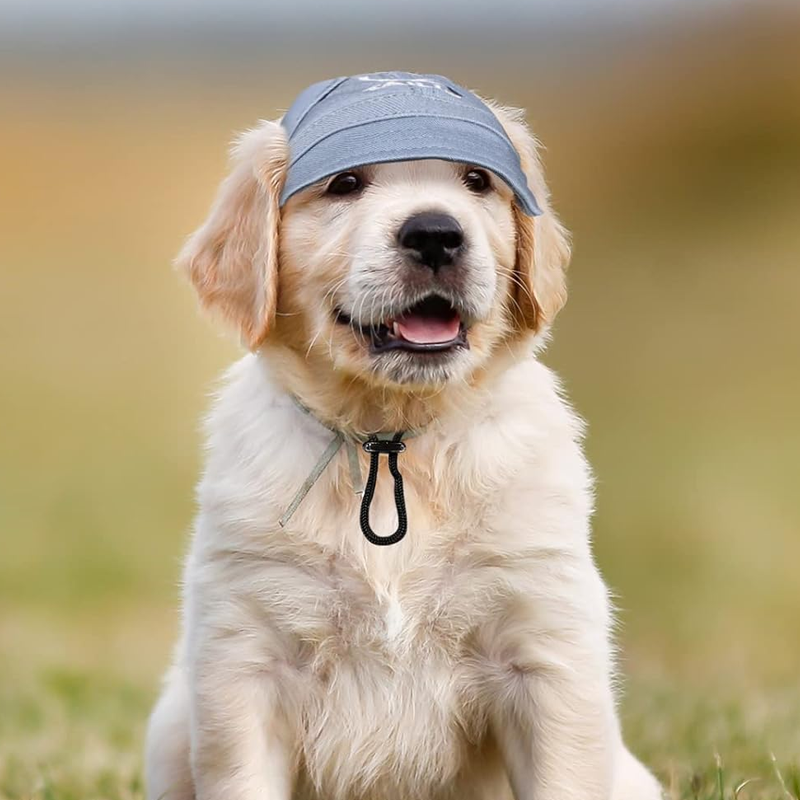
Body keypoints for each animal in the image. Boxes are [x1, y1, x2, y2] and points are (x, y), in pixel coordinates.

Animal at [145, 72, 664, 796]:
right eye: (344, 184)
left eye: (476, 180)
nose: (436, 234)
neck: (389, 438)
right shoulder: (242, 658)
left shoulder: (546, 651)